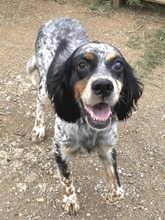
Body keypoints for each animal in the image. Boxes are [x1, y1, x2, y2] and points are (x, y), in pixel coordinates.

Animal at [26, 18, 143, 214]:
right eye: (82, 65)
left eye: (118, 65)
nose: (103, 86)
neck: (88, 128)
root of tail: (58, 18)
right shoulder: (60, 150)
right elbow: (66, 179)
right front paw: (70, 200)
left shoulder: (108, 149)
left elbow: (118, 190)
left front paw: (108, 197)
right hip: (44, 89)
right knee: (39, 103)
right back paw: (38, 129)